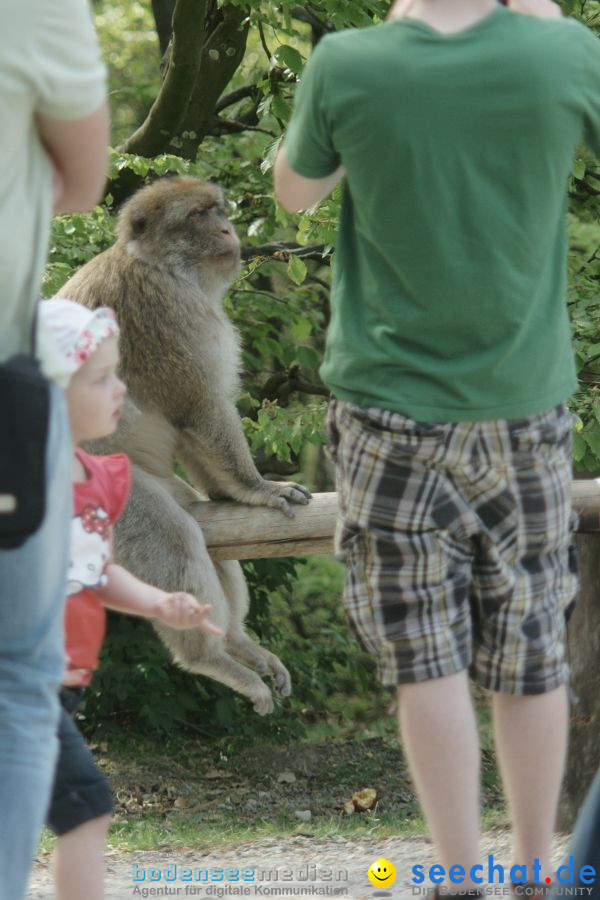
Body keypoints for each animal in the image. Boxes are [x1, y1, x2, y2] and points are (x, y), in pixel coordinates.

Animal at [58, 176, 312, 712]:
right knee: (174, 541)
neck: (162, 265)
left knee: (208, 535)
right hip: (100, 493)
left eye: (218, 210)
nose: (227, 229)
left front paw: (237, 492)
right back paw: (209, 659)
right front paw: (258, 487)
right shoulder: (167, 313)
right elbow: (200, 408)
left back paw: (236, 642)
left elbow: (197, 438)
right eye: (198, 215)